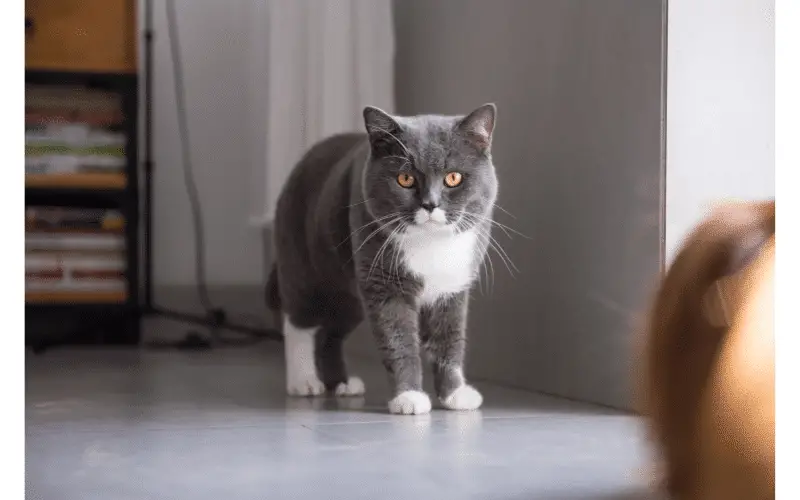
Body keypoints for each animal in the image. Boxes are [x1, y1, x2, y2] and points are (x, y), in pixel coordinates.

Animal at [266, 104, 496, 414]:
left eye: (453, 178)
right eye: (405, 179)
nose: (431, 204)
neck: (430, 244)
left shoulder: (453, 287)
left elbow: (449, 340)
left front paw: (455, 394)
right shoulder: (384, 285)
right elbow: (398, 340)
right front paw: (408, 397)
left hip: (348, 292)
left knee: (331, 333)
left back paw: (342, 383)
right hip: (303, 264)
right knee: (299, 321)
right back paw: (303, 382)